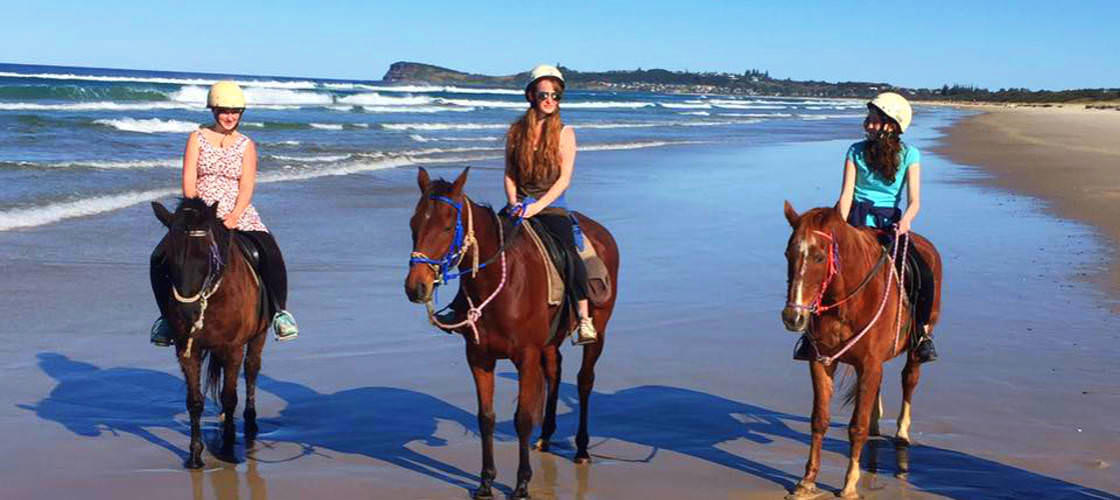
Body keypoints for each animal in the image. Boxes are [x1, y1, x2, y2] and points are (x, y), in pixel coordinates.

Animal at [151, 198, 270, 468]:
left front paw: (227, 450)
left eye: (207, 256)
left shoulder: (234, 348)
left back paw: (249, 423)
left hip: (259, 335)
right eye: (169, 259)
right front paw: (195, 456)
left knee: (251, 369)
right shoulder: (187, 350)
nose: (188, 311)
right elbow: (194, 401)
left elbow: (229, 396)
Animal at [404, 167, 620, 499]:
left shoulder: (526, 356)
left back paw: (582, 449)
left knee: (585, 381)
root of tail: (602, 232)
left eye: (446, 227)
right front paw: (485, 482)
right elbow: (486, 418)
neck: (501, 284)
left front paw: (521, 484)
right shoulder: (479, 357)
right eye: (413, 224)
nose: (416, 287)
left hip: (599, 329)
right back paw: (546, 437)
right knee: (555, 372)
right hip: (549, 342)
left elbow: (522, 418)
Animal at [780, 202, 942, 499]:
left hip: (916, 346)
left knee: (909, 379)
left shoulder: (869, 364)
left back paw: (902, 433)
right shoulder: (822, 361)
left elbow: (857, 426)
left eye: (819, 257)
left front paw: (849, 485)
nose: (792, 317)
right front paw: (807, 481)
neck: (846, 302)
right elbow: (819, 419)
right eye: (789, 254)